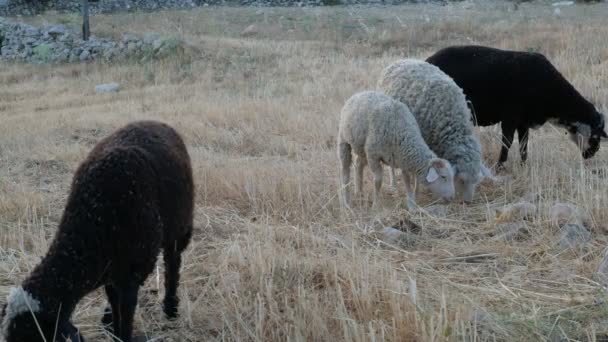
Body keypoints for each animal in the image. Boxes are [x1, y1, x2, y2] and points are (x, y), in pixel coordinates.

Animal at [0, 120, 195, 342]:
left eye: (32, 335)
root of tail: (155, 122)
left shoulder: (131, 273)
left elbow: (126, 312)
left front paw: (123, 335)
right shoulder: (111, 271)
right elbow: (115, 304)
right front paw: (114, 327)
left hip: (179, 226)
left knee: (173, 263)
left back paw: (171, 308)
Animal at [378, 59, 492, 203]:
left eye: (476, 182)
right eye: (461, 180)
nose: (467, 202)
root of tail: (400, 60)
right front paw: (416, 192)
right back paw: (393, 183)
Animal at [426, 45, 604, 168]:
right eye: (595, 136)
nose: (593, 153)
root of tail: (428, 61)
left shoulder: (523, 121)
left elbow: (523, 145)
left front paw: (523, 165)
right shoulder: (510, 117)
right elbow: (507, 142)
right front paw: (500, 165)